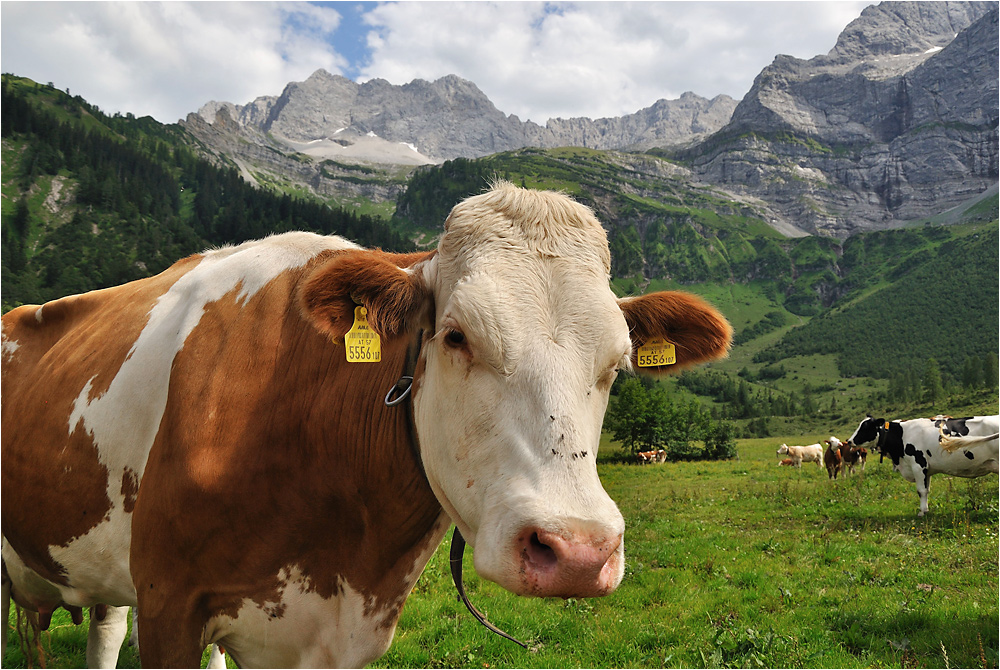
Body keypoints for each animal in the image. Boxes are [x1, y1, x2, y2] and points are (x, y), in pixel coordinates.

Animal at [848, 414, 996, 520]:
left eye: (866, 427)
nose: (849, 441)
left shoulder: (918, 465)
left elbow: (921, 491)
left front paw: (922, 512)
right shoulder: (927, 470)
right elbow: (927, 490)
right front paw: (926, 509)